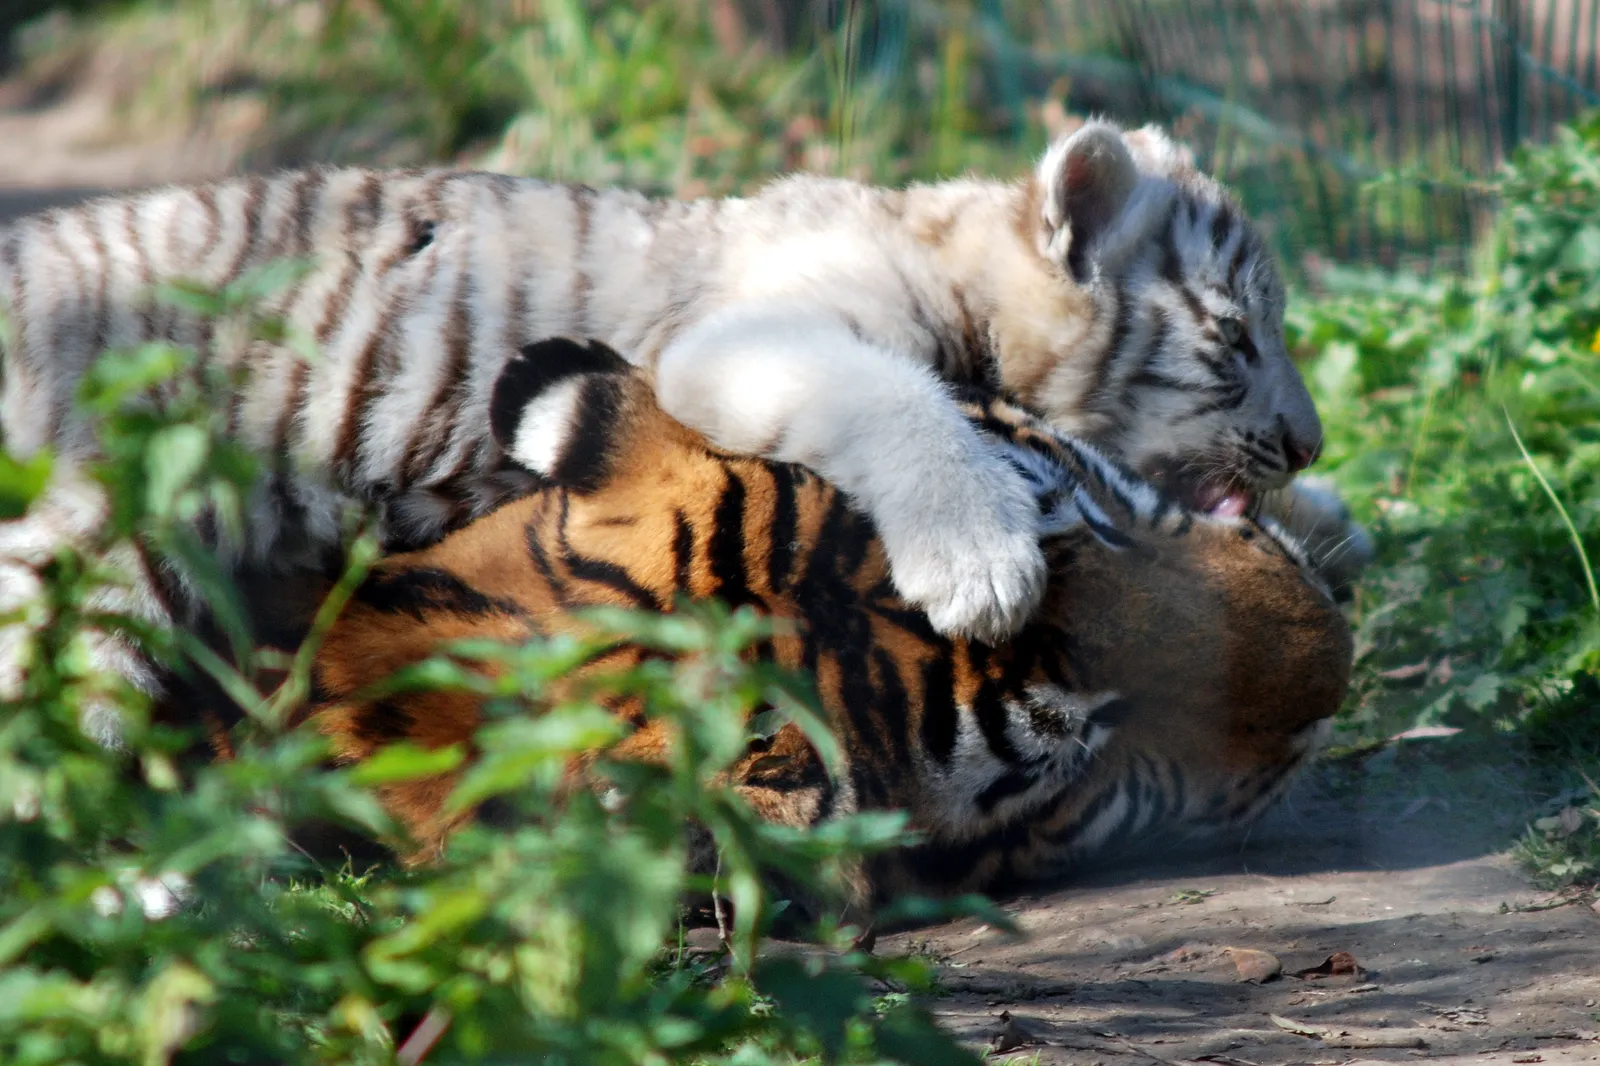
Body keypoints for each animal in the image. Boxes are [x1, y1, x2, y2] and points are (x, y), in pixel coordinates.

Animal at [0, 119, 1356, 724]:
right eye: (1235, 340)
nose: (1307, 442)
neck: (952, 265)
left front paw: (1332, 519)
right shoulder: (751, 337)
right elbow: (905, 403)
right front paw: (978, 565)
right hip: (84, 552)